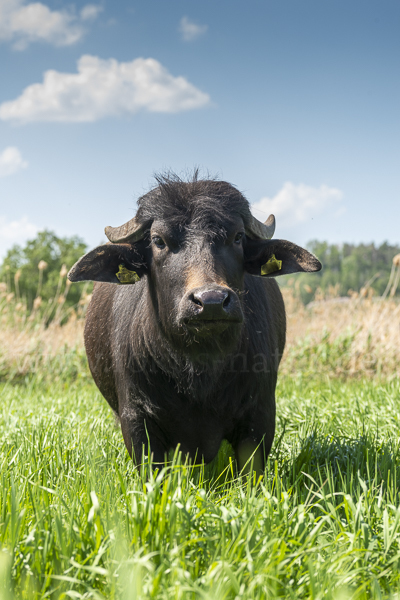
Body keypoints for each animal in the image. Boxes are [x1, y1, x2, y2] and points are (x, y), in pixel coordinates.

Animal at [67, 173, 320, 474]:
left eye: (238, 237)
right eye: (158, 240)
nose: (211, 300)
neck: (199, 366)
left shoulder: (260, 416)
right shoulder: (136, 420)